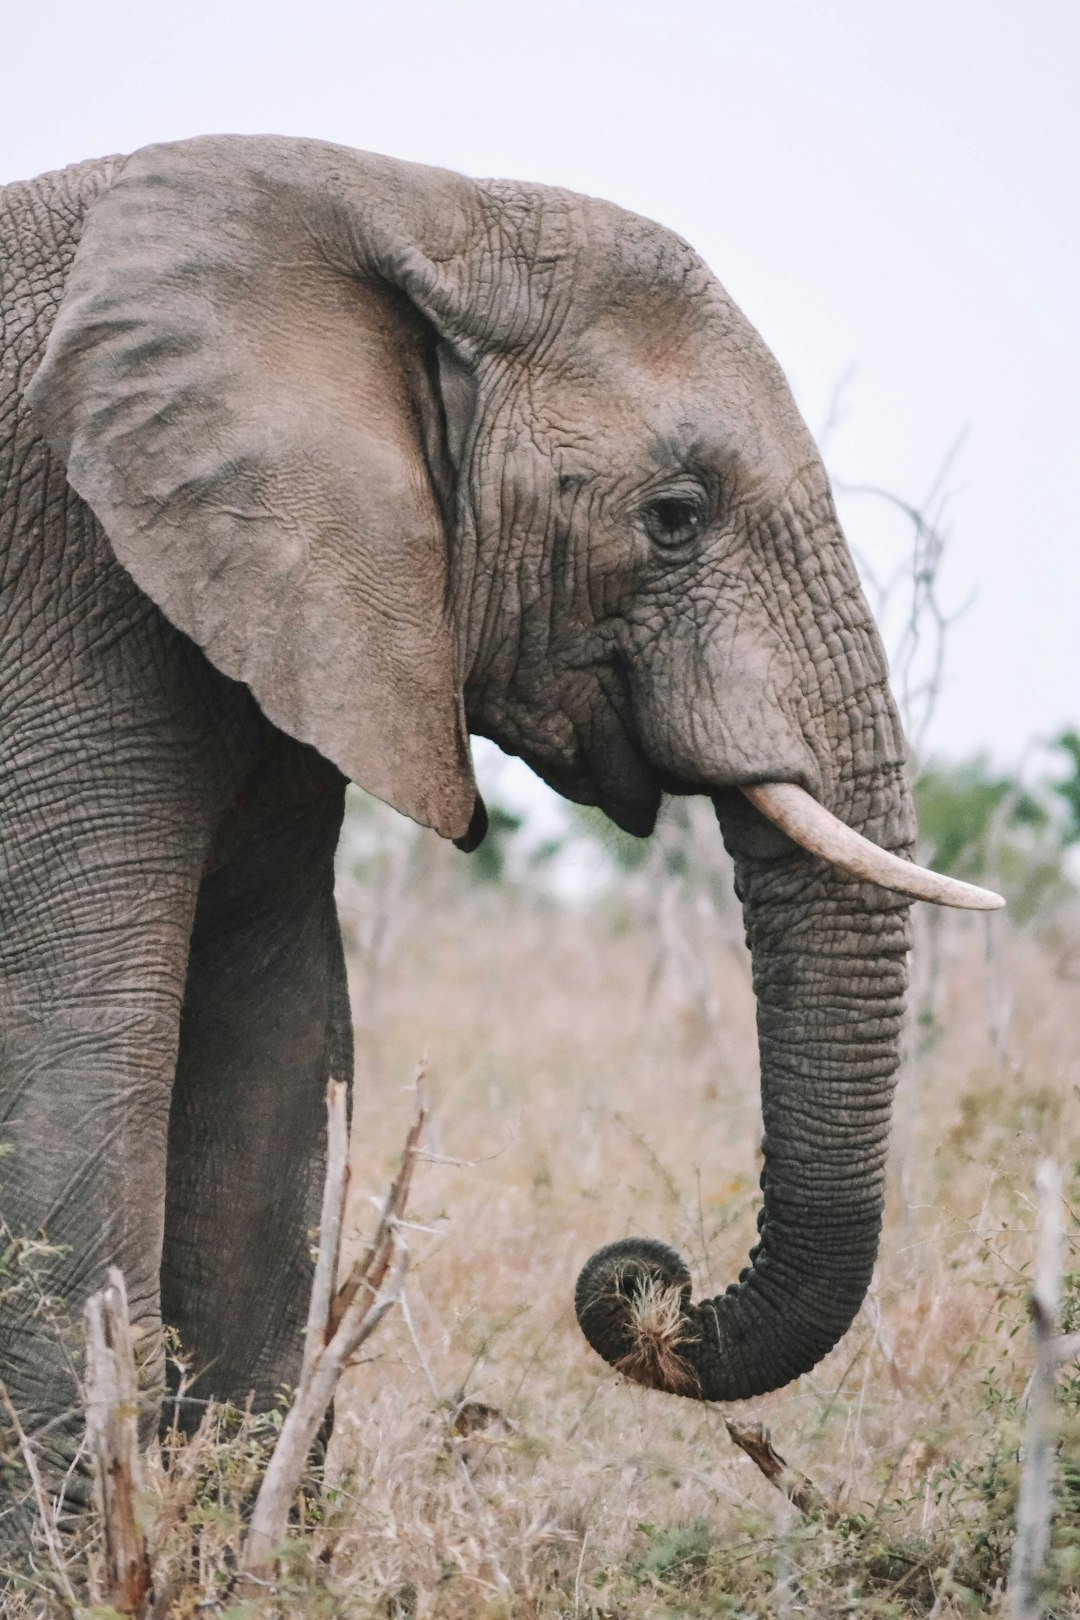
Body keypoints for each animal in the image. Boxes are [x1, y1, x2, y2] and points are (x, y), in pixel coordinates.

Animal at [0, 134, 1001, 1513]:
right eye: (675, 515)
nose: (648, 1278)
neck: (399, 202)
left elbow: (277, 1034)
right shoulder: (68, 592)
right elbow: (81, 1041)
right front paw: (73, 1538)